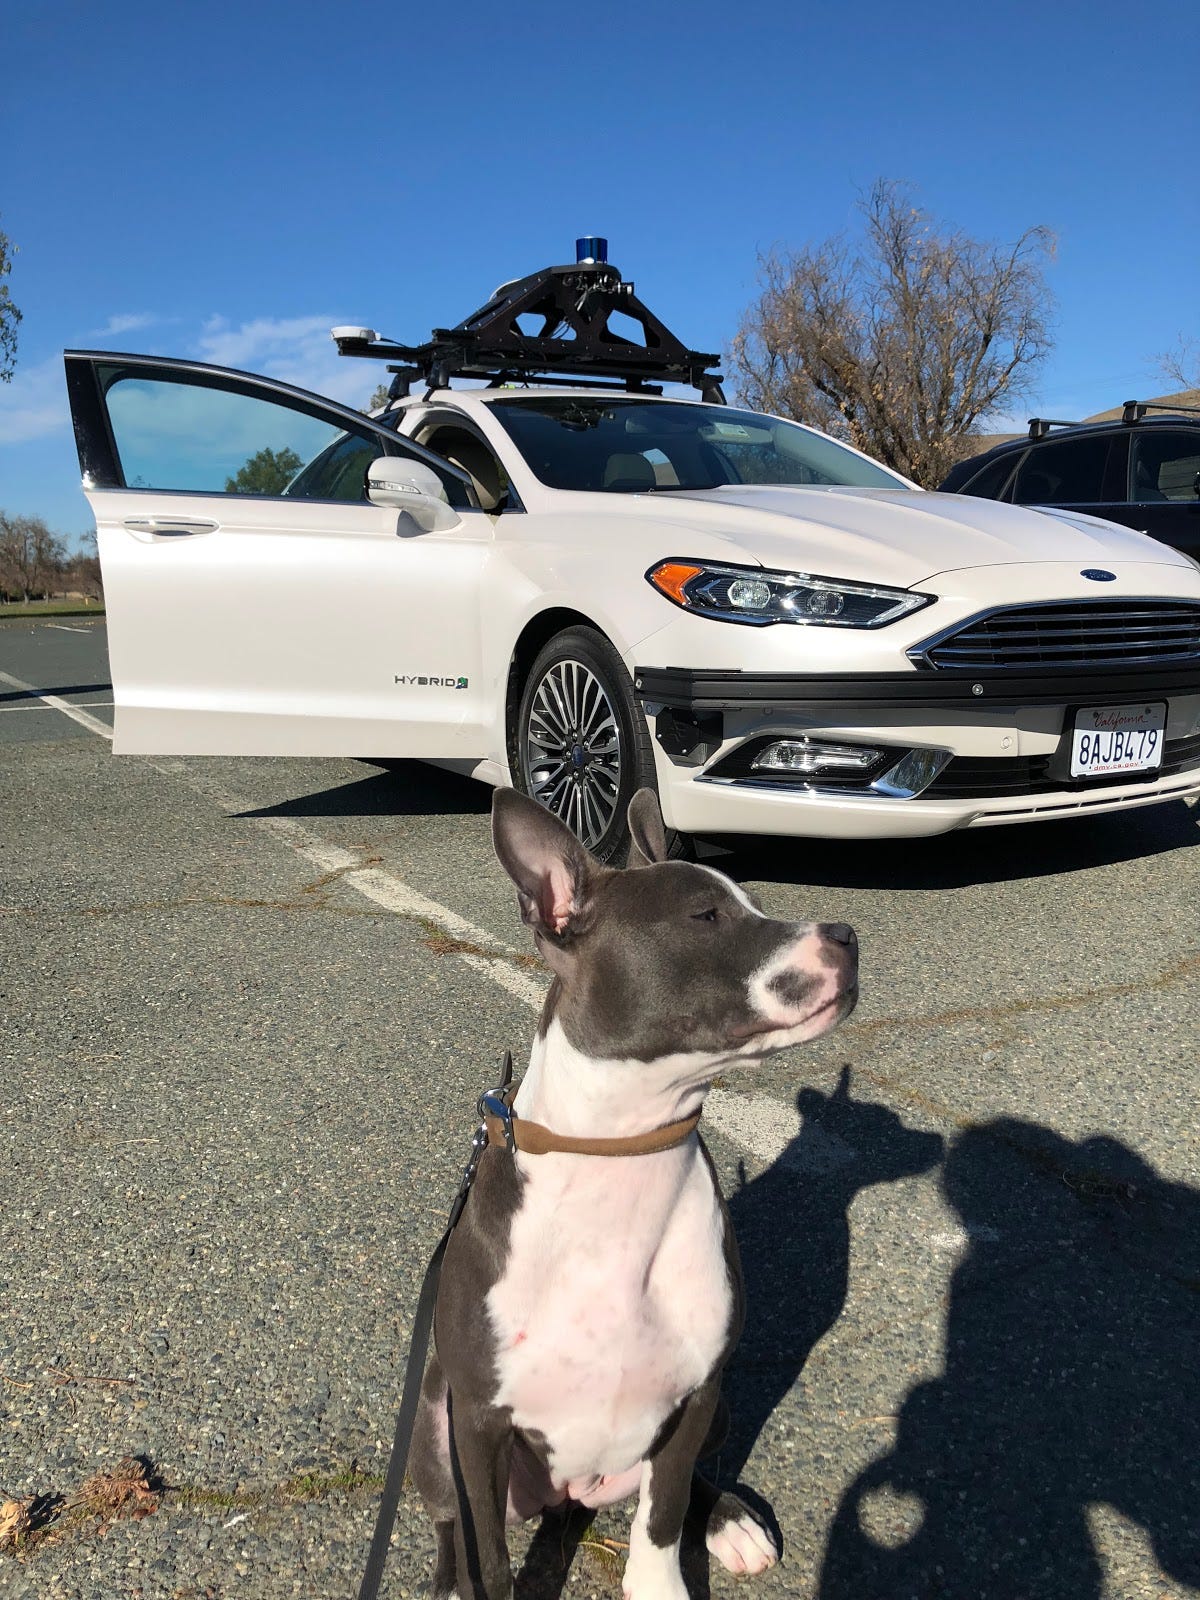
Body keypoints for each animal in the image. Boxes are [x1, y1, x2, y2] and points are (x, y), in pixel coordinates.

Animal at [410, 786, 858, 1600]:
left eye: (751, 901)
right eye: (705, 916)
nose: (847, 936)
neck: (620, 1152)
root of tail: (572, 1494)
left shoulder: (697, 1394)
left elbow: (663, 1512)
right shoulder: (480, 1422)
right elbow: (489, 1550)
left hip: (717, 1408)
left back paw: (729, 1522)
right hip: (434, 1419)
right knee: (452, 1524)